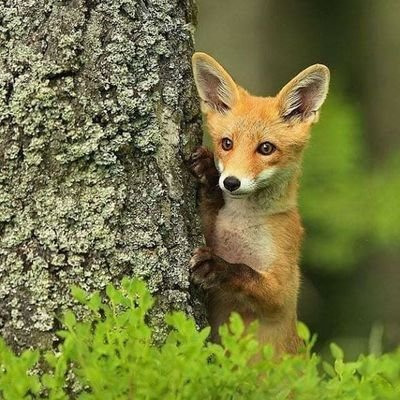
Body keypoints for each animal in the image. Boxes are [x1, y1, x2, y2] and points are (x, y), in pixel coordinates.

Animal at [189, 51, 330, 354]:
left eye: (266, 148)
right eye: (226, 144)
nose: (231, 182)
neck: (241, 223)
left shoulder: (284, 293)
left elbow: (245, 272)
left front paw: (217, 266)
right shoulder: (210, 227)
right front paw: (208, 172)